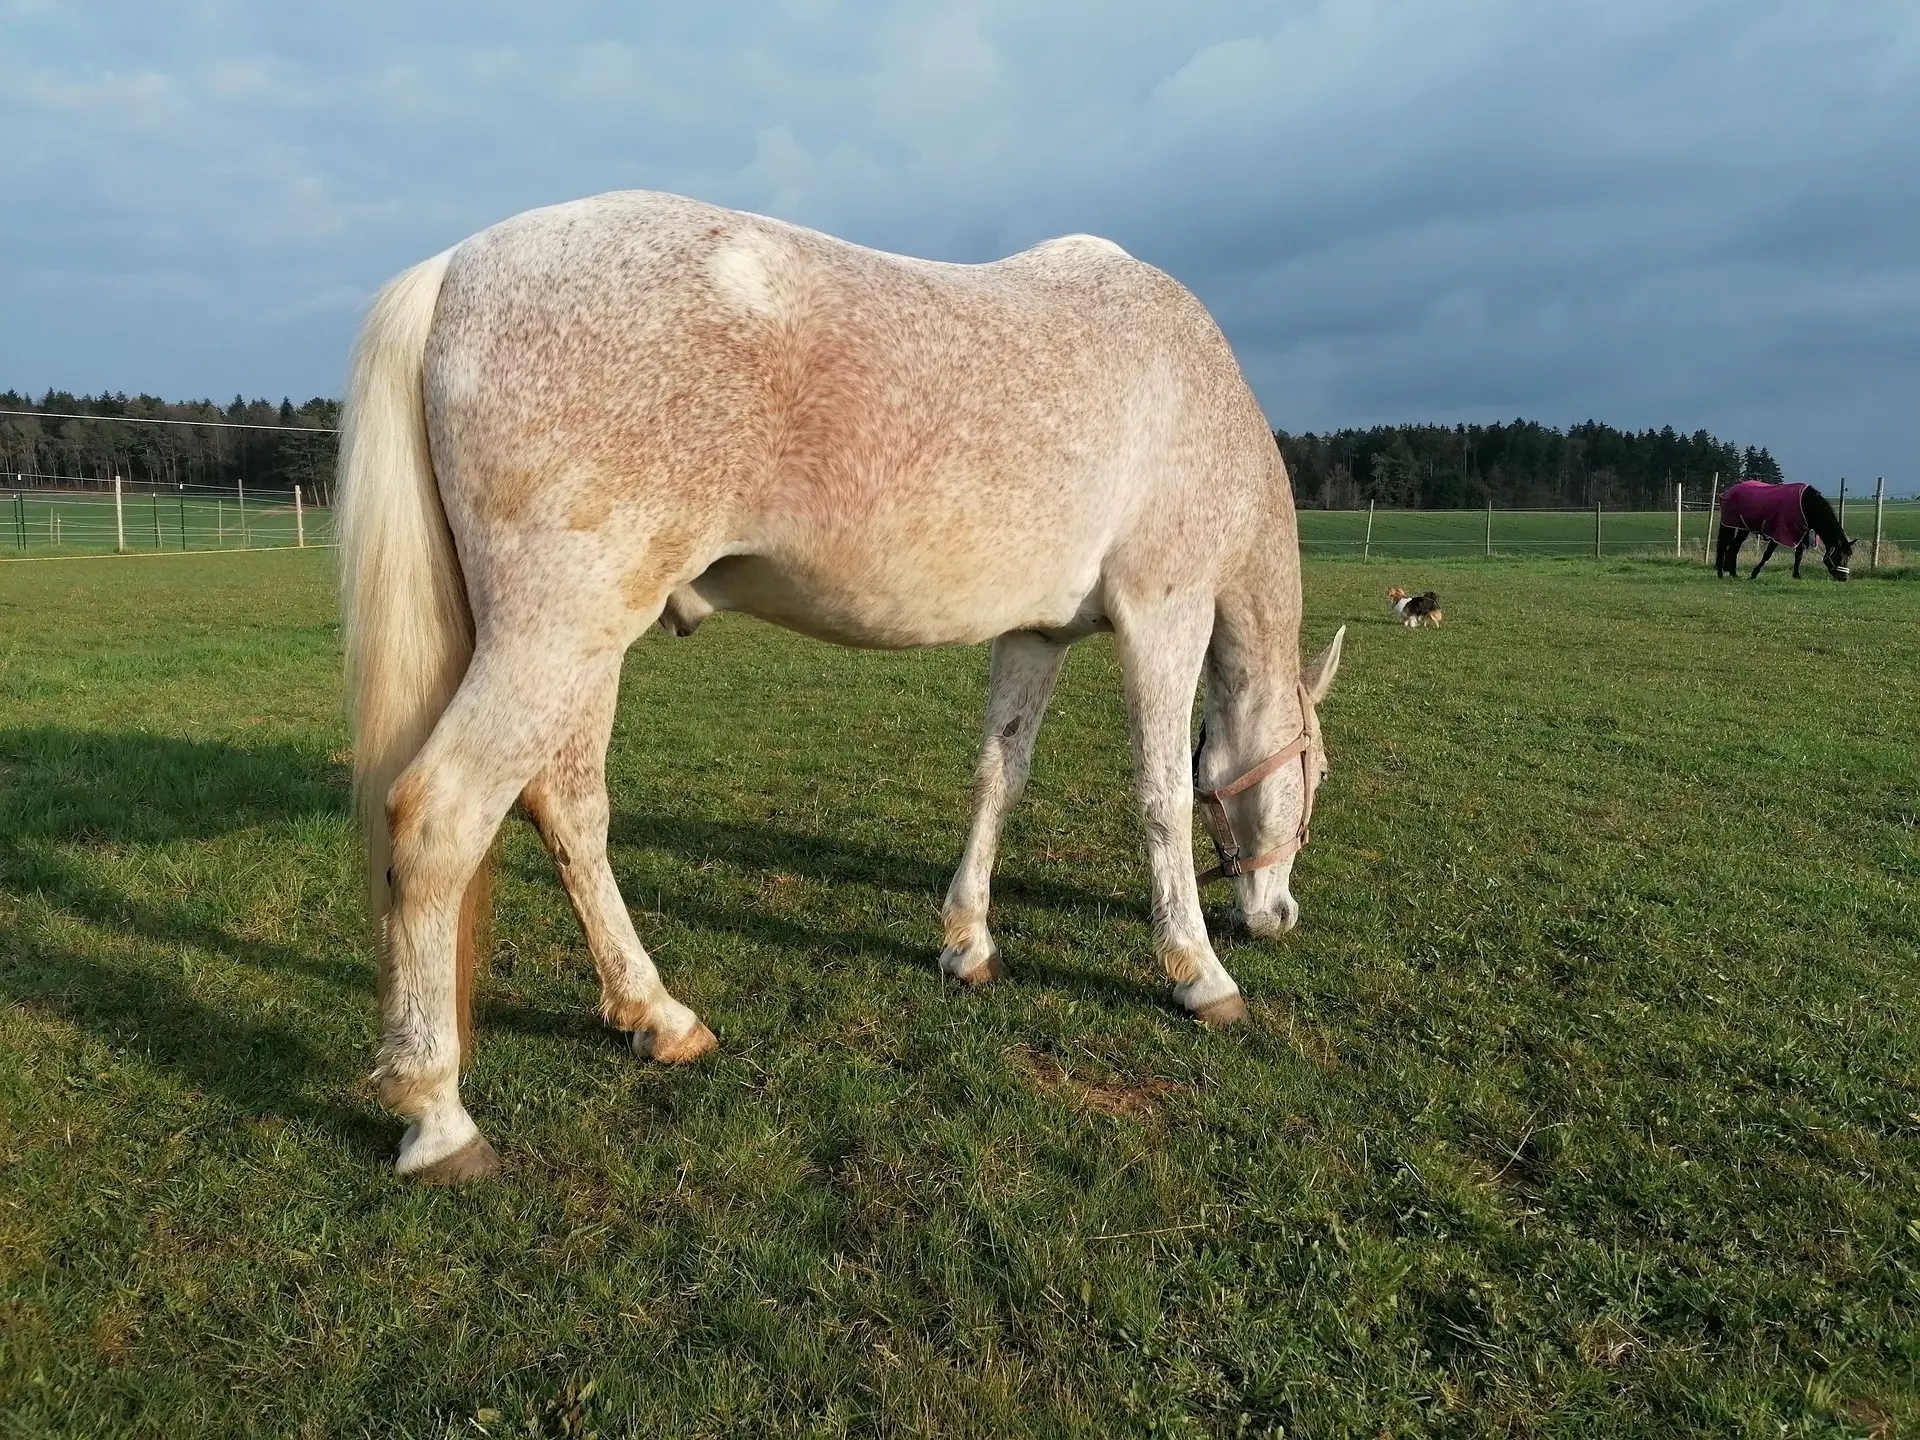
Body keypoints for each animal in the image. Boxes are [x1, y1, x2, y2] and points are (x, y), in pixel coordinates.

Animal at [337, 192, 1344, 1182]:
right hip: (558, 630)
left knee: (569, 808)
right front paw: (1198, 972)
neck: (1192, 386)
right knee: (438, 819)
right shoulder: (1164, 611)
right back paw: (438, 1118)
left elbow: (1000, 775)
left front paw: (969, 942)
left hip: (584, 645)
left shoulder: (1034, 633)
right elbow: (1163, 794)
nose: (1278, 915)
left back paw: (656, 1017)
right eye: (1317, 779)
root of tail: (456, 268)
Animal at [1720, 480, 1850, 579]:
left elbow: (1799, 555)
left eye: (1848, 556)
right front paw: (1754, 574)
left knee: (1734, 547)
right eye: (1839, 556)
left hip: (1743, 528)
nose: (1843, 578)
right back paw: (1729, 573)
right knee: (1731, 546)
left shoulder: (1799, 533)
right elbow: (1767, 554)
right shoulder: (1779, 534)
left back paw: (1732, 573)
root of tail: (1728, 492)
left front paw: (1796, 575)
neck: (1806, 504)